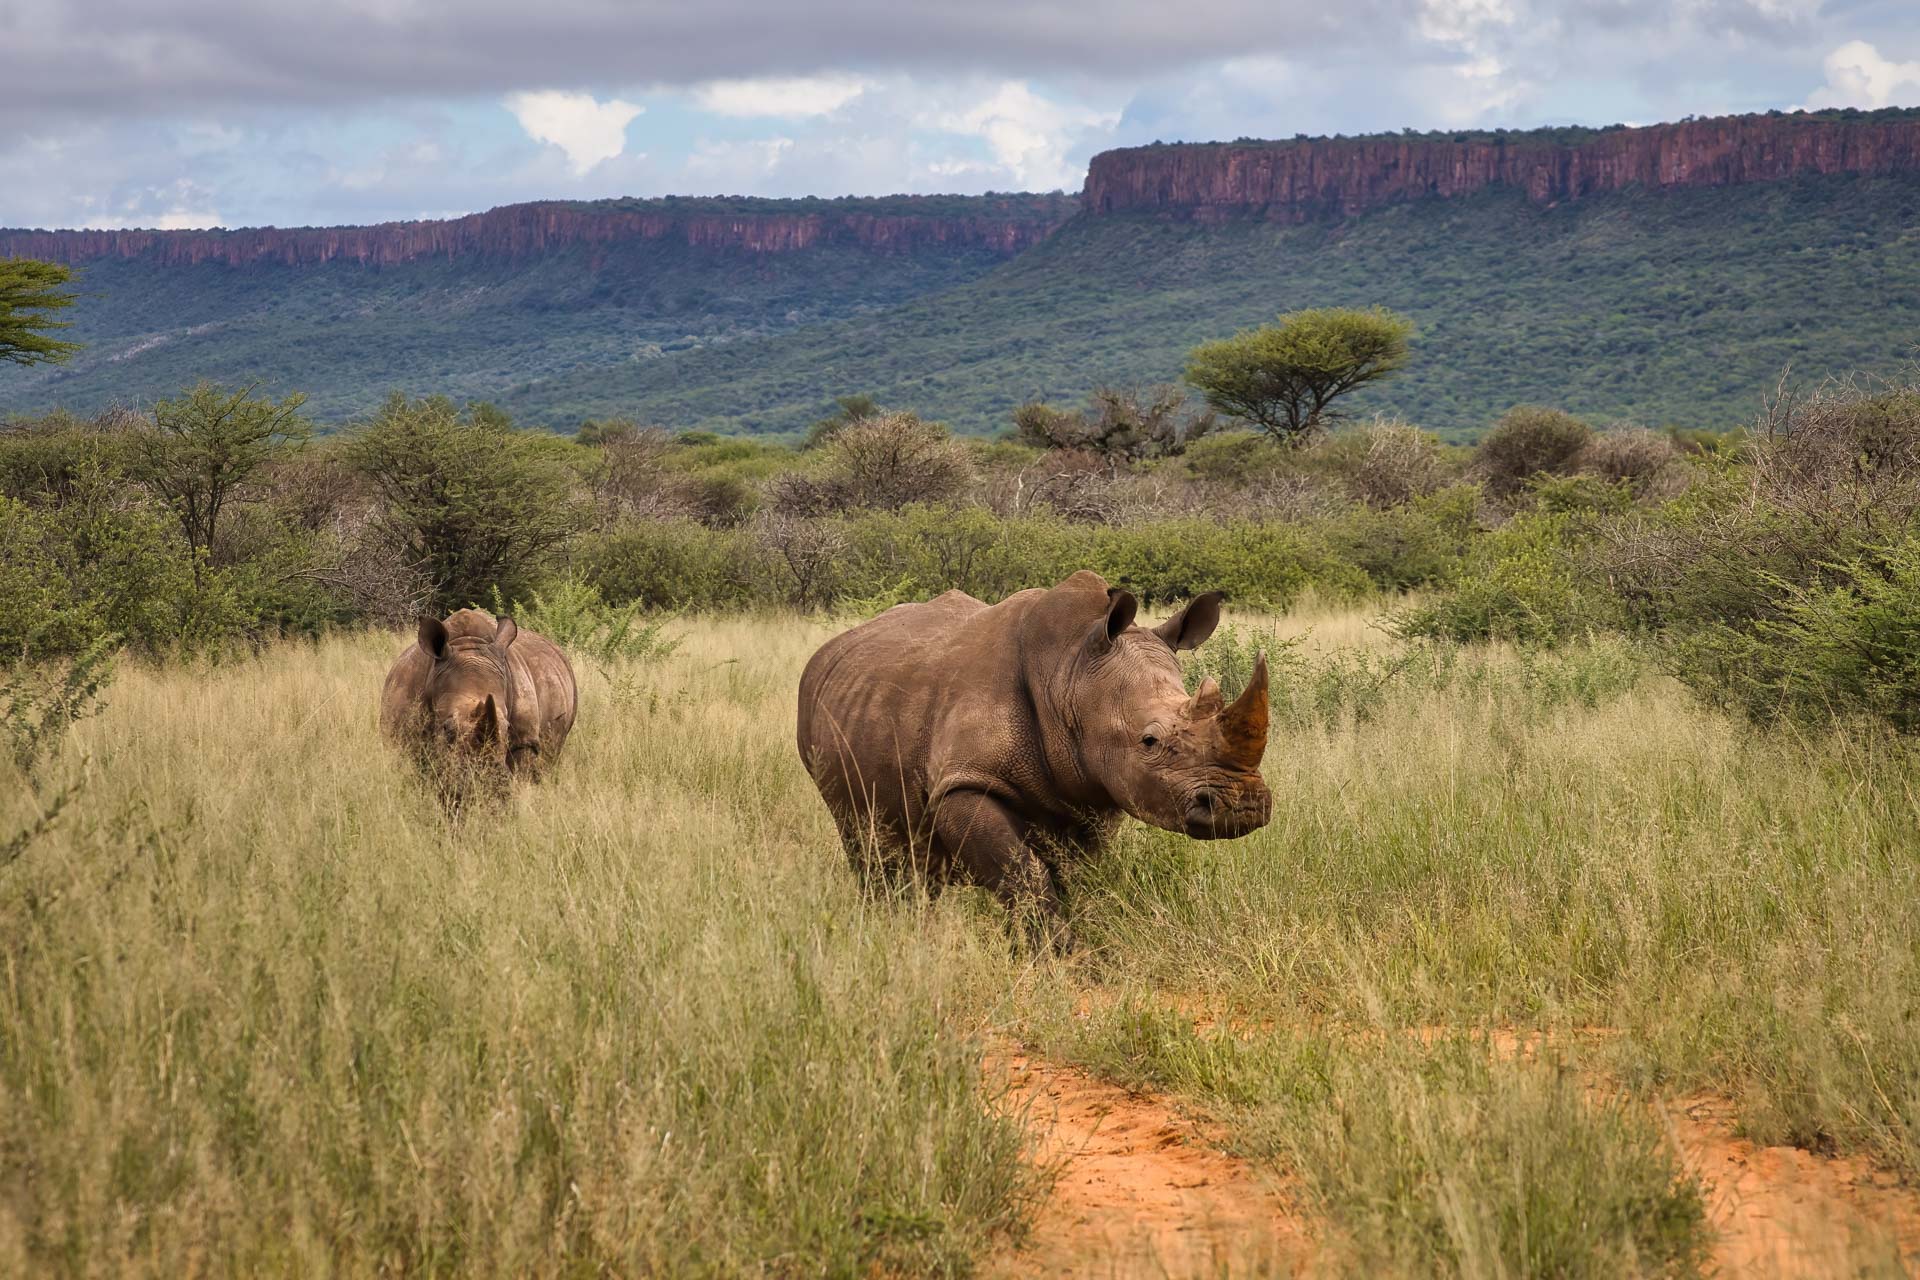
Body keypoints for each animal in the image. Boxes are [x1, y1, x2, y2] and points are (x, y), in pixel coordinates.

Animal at [380, 609, 578, 786]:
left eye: (507, 727)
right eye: (447, 729)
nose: (488, 779)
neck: (467, 644)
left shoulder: (524, 740)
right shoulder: (404, 737)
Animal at [797, 570, 1271, 949]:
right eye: (1149, 741)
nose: (1243, 806)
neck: (1069, 673)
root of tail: (830, 649)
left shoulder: (1095, 794)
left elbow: (1075, 874)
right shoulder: (965, 782)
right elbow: (1024, 874)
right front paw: (1065, 956)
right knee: (866, 842)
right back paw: (892, 923)